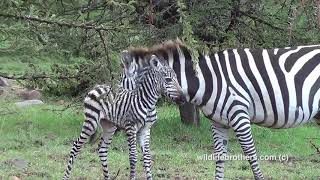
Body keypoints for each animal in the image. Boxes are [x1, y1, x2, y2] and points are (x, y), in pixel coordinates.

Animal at [123, 40, 320, 179]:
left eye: (124, 87)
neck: (207, 80)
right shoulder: (218, 123)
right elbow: (219, 156)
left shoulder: (239, 116)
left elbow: (251, 155)